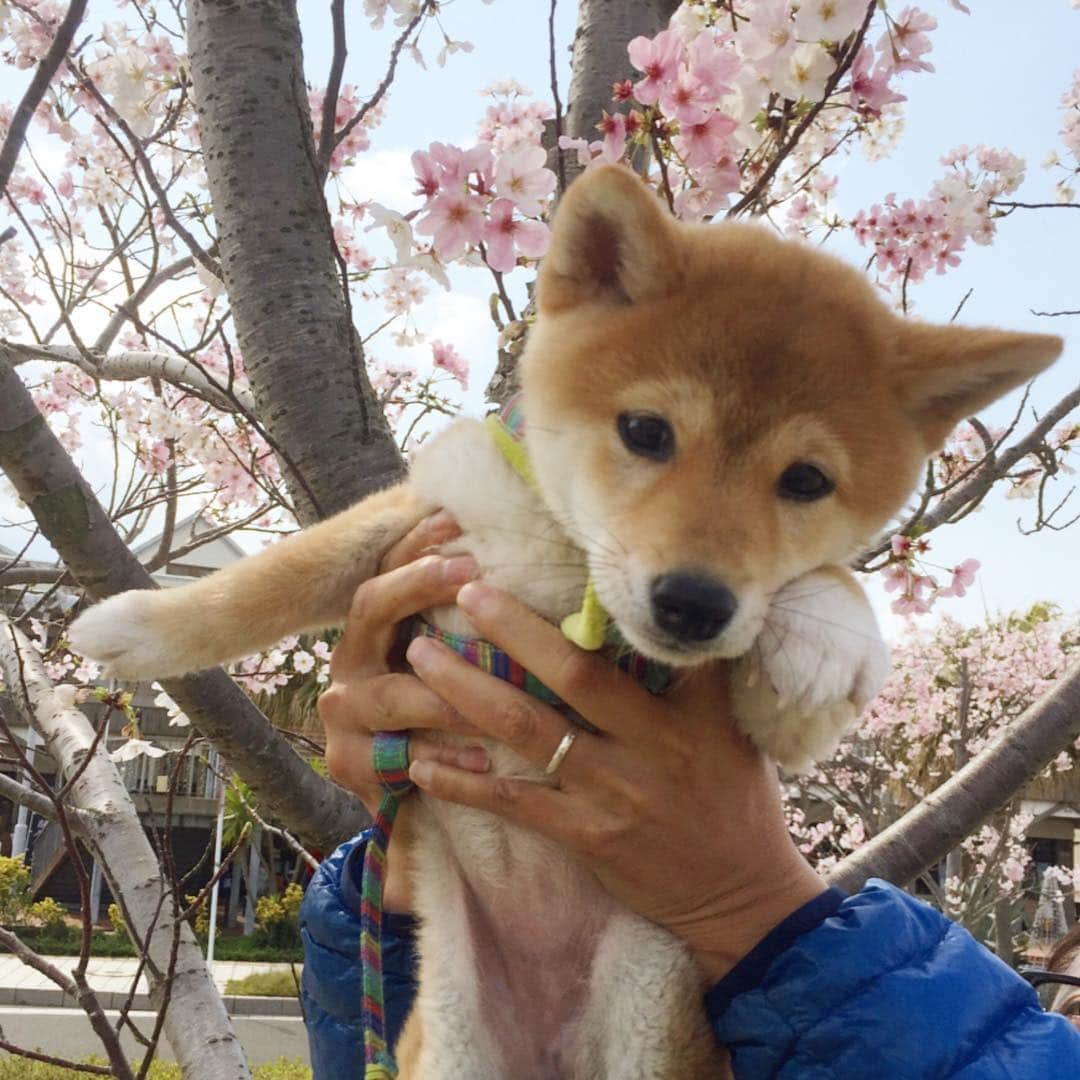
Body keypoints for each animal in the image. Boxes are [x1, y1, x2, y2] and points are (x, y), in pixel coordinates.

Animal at [73, 164, 1062, 1075]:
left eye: (807, 480)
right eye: (647, 432)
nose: (694, 602)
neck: (568, 564)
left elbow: (825, 594)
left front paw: (823, 638)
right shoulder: (425, 520)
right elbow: (283, 572)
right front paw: (135, 625)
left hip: (648, 1021)